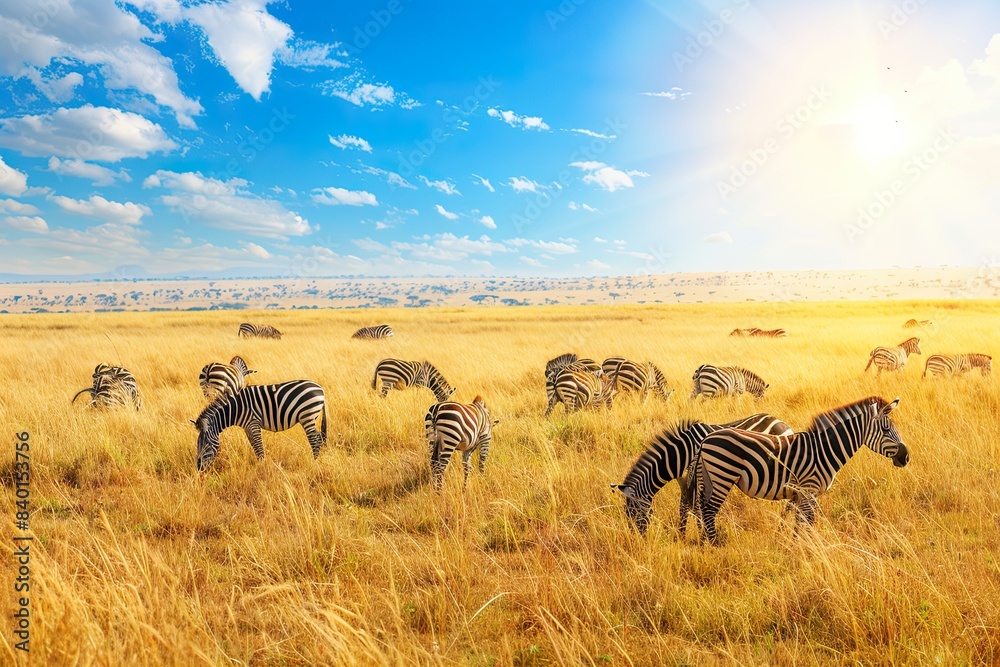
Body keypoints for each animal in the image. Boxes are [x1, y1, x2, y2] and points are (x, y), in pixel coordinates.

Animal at [193, 380, 327, 471]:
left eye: (206, 445)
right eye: (197, 445)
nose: (199, 468)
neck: (235, 409)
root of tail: (320, 388)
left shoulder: (253, 423)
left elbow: (258, 447)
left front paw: (262, 468)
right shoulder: (247, 427)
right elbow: (254, 446)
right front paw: (260, 465)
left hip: (307, 416)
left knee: (315, 439)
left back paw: (313, 463)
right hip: (309, 417)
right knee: (318, 438)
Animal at [612, 414, 792, 535]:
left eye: (633, 512)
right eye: (626, 514)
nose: (637, 538)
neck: (681, 454)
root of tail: (781, 422)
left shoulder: (697, 475)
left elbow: (696, 508)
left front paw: (700, 535)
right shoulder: (683, 479)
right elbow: (684, 507)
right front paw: (682, 535)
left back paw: (781, 528)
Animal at [695, 396, 909, 543]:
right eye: (885, 430)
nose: (906, 457)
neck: (824, 450)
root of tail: (707, 439)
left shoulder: (801, 494)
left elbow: (800, 523)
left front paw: (795, 547)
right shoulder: (808, 489)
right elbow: (807, 522)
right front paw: (804, 551)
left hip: (709, 479)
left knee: (702, 510)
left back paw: (705, 543)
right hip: (723, 475)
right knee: (709, 511)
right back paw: (715, 546)